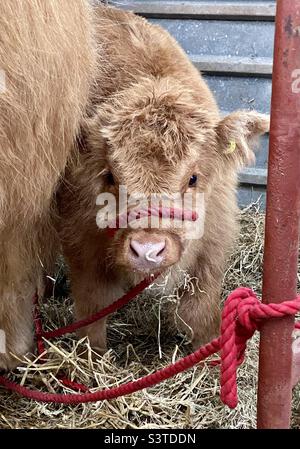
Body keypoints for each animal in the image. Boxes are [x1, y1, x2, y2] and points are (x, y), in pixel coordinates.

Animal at [56, 4, 270, 354]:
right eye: (110, 176)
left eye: (194, 178)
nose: (147, 250)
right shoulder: (82, 242)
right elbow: (93, 312)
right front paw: (93, 357)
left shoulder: (213, 245)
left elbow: (200, 313)